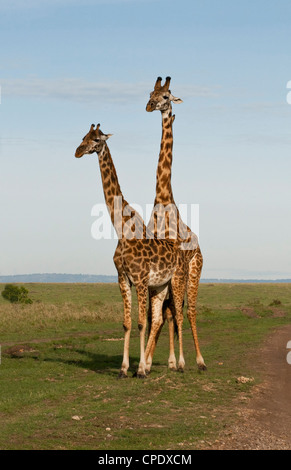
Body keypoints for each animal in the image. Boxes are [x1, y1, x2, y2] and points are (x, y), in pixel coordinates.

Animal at [74, 122, 180, 378]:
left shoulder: (140, 279)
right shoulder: (122, 278)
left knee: (175, 316)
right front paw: (124, 369)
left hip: (175, 282)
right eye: (83, 136)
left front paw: (139, 369)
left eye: (96, 140)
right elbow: (127, 323)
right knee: (161, 318)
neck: (121, 229)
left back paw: (178, 363)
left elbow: (141, 323)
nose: (78, 151)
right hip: (160, 285)